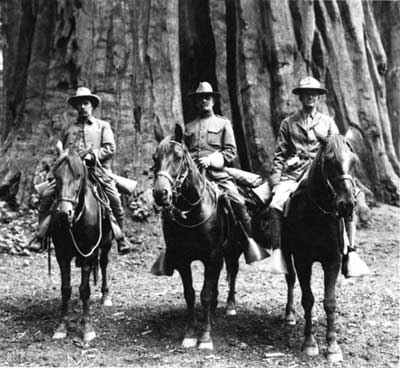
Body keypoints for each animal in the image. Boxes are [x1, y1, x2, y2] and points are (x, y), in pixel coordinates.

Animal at [50, 143, 113, 342]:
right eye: (56, 176)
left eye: (78, 176)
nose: (64, 213)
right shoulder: (62, 254)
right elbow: (66, 288)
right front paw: (62, 326)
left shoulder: (87, 252)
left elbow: (85, 289)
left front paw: (86, 327)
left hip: (106, 243)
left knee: (103, 263)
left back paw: (105, 296)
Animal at [151, 124, 244, 350]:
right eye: (155, 158)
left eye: (178, 157)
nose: (160, 193)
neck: (193, 211)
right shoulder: (182, 259)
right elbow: (190, 294)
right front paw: (190, 334)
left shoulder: (212, 256)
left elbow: (206, 294)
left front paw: (205, 337)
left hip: (232, 250)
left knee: (233, 271)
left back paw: (230, 305)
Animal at [282, 134, 358, 364]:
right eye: (330, 162)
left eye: (354, 162)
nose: (348, 204)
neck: (317, 214)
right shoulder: (302, 261)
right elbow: (308, 299)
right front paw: (309, 343)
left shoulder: (332, 261)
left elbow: (330, 302)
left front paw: (333, 346)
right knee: (290, 280)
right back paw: (289, 315)